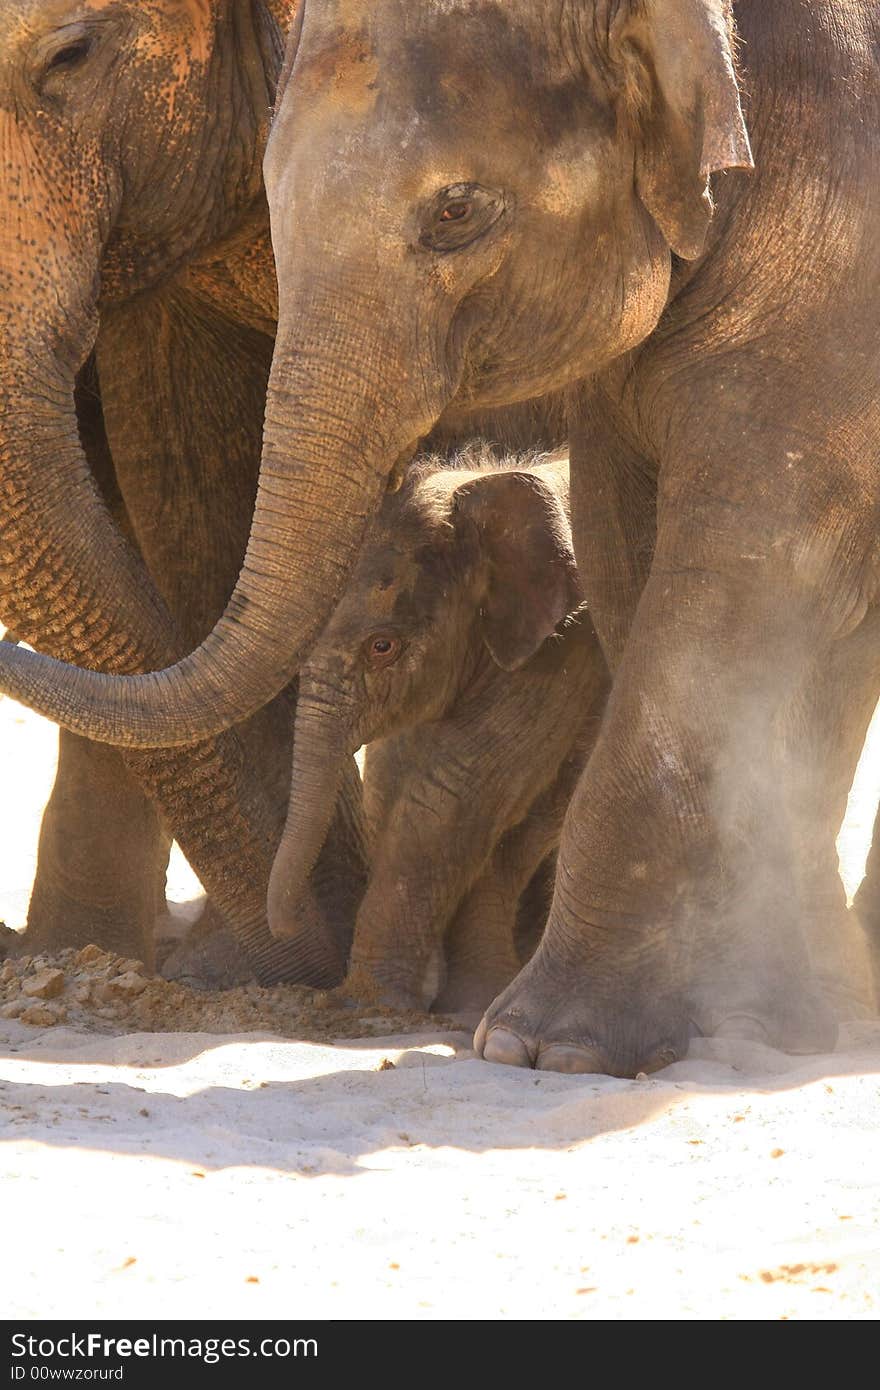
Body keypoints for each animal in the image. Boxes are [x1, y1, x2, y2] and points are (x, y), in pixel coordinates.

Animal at [271, 450, 606, 1017]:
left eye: (382, 647)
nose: (288, 922)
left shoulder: (563, 648)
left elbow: (454, 788)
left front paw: (372, 1003)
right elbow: (391, 785)